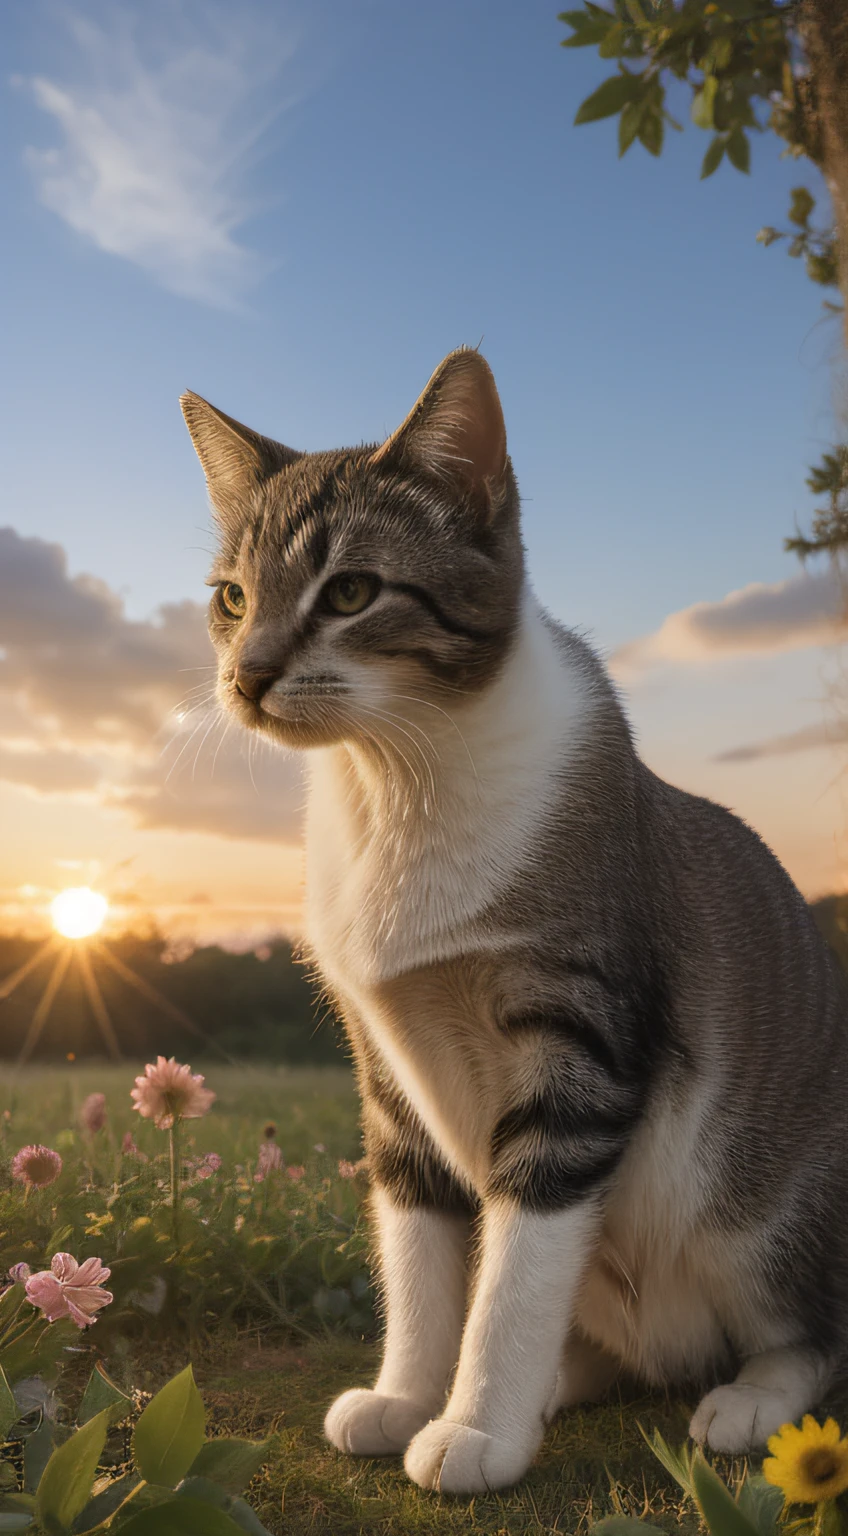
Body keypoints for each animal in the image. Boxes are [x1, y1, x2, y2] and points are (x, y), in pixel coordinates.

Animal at [180, 348, 848, 1486]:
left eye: (351, 591)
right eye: (232, 597)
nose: (247, 675)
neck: (400, 780)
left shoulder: (578, 1047)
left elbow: (520, 1263)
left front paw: (477, 1425)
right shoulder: (389, 1070)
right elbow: (419, 1252)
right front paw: (412, 1396)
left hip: (763, 1211)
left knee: (807, 1331)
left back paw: (745, 1401)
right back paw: (565, 1383)